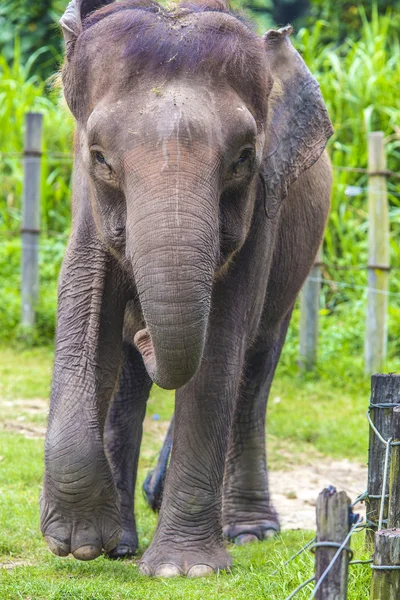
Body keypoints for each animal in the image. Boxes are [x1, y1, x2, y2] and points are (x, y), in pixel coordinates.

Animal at [40, 0, 332, 580]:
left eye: (243, 157)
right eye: (100, 157)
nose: (147, 333)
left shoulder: (262, 208)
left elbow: (220, 346)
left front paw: (184, 570)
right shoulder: (86, 200)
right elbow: (85, 313)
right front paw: (81, 544)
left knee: (255, 367)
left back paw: (249, 531)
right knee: (129, 379)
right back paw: (122, 544)